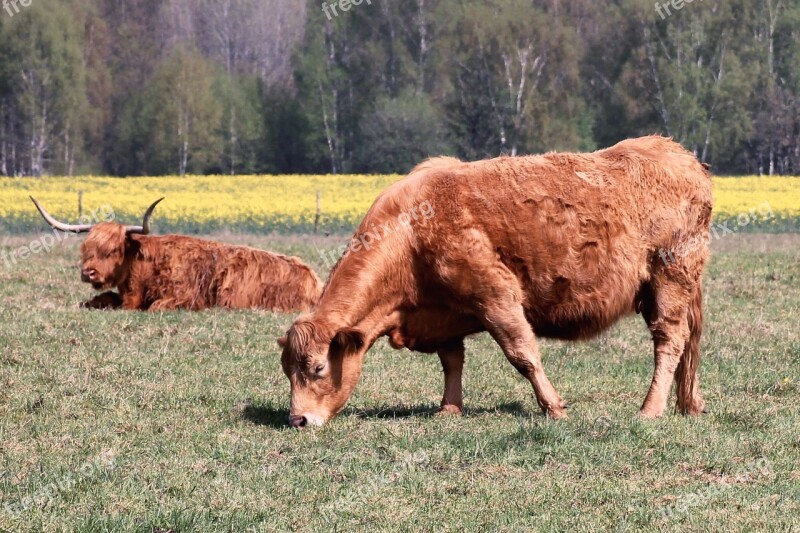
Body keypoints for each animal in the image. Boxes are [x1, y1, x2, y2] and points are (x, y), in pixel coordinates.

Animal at [32, 197, 322, 310]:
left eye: (113, 249)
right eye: (86, 248)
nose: (88, 272)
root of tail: (313, 279)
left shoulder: (183, 297)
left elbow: (155, 307)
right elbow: (95, 300)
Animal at [282, 135, 712, 426]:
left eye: (317, 368)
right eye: (288, 370)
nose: (298, 420)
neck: (411, 229)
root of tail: (674, 151)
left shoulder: (496, 296)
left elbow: (523, 355)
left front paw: (554, 408)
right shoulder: (445, 311)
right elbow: (452, 361)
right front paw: (448, 409)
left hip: (669, 279)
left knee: (669, 341)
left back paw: (650, 409)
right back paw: (688, 404)